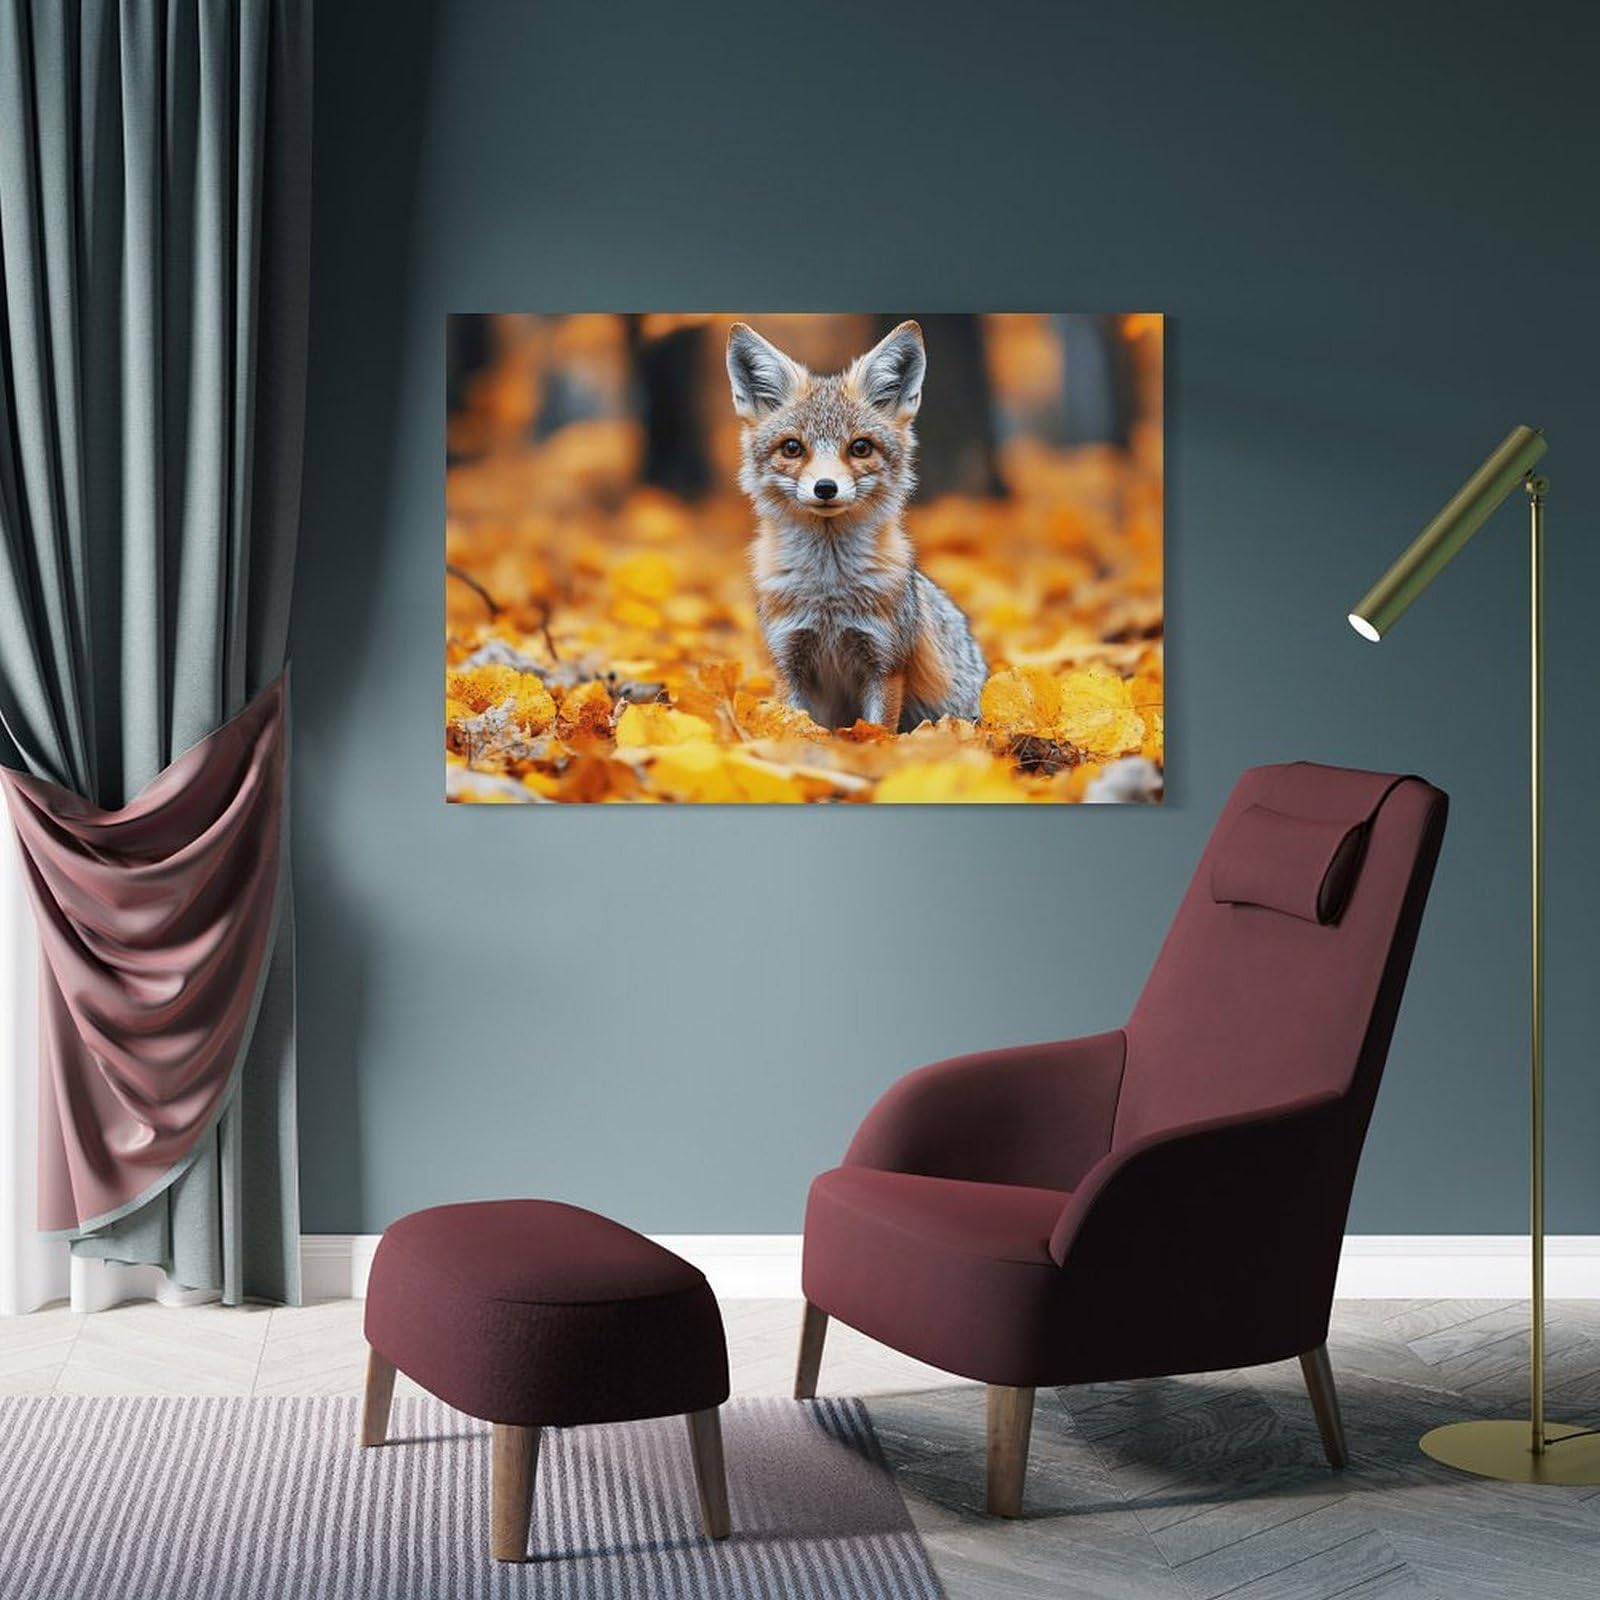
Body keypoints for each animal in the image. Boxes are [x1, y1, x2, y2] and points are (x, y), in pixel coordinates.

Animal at [726, 319, 986, 733]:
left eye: (860, 448)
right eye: (792, 448)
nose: (825, 488)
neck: (829, 595)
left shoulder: (885, 664)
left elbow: (879, 730)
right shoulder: (789, 661)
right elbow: (795, 723)